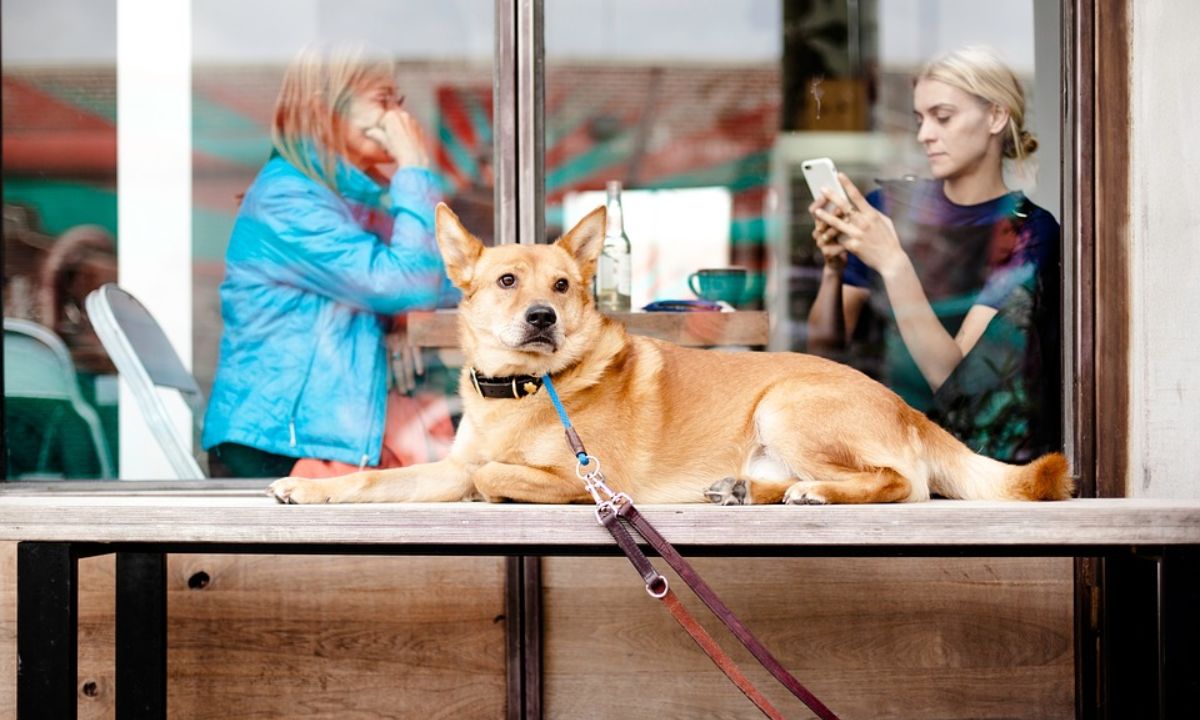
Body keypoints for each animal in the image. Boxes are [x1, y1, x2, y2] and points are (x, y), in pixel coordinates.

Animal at [267, 204, 1075, 506]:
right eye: (506, 280)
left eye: (562, 285)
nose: (542, 316)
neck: (526, 391)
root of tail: (907, 409)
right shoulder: (447, 463)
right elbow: (383, 481)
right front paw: (313, 490)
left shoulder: (587, 478)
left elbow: (493, 474)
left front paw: (496, 486)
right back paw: (748, 492)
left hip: (787, 404)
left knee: (902, 484)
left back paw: (813, 494)